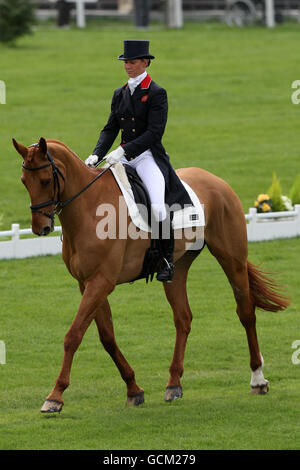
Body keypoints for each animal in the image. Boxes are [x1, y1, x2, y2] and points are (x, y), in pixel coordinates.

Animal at [12, 136, 290, 412]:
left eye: (45, 180)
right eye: (24, 181)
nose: (40, 228)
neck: (89, 208)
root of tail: (215, 180)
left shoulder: (101, 281)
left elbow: (73, 335)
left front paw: (55, 397)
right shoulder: (88, 283)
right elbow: (107, 337)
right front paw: (134, 389)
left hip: (232, 259)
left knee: (246, 312)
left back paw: (258, 379)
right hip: (178, 267)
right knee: (183, 318)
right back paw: (173, 384)